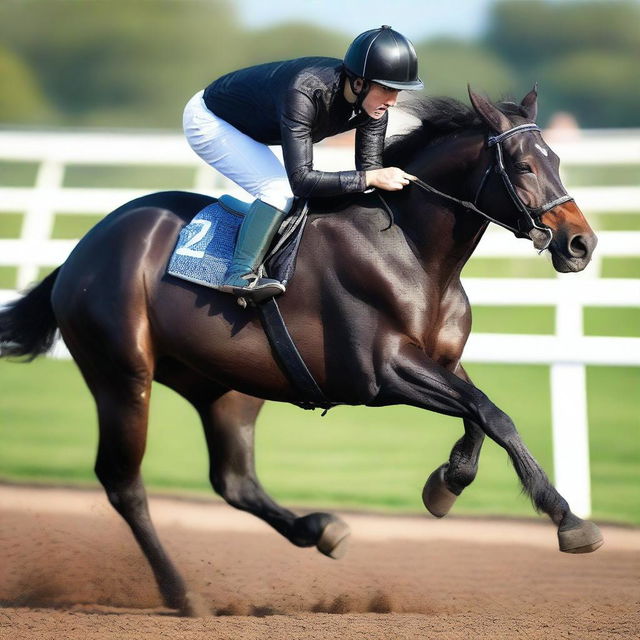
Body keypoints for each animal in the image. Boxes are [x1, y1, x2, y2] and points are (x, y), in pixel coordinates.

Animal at [0, 89, 604, 616]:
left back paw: (320, 529)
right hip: (123, 377)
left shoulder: (442, 362)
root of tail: (82, 250)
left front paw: (446, 483)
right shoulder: (380, 374)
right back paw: (182, 594)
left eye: (556, 158)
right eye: (523, 166)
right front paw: (567, 519)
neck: (411, 252)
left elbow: (480, 412)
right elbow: (492, 414)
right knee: (124, 484)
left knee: (234, 480)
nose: (581, 244)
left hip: (224, 386)